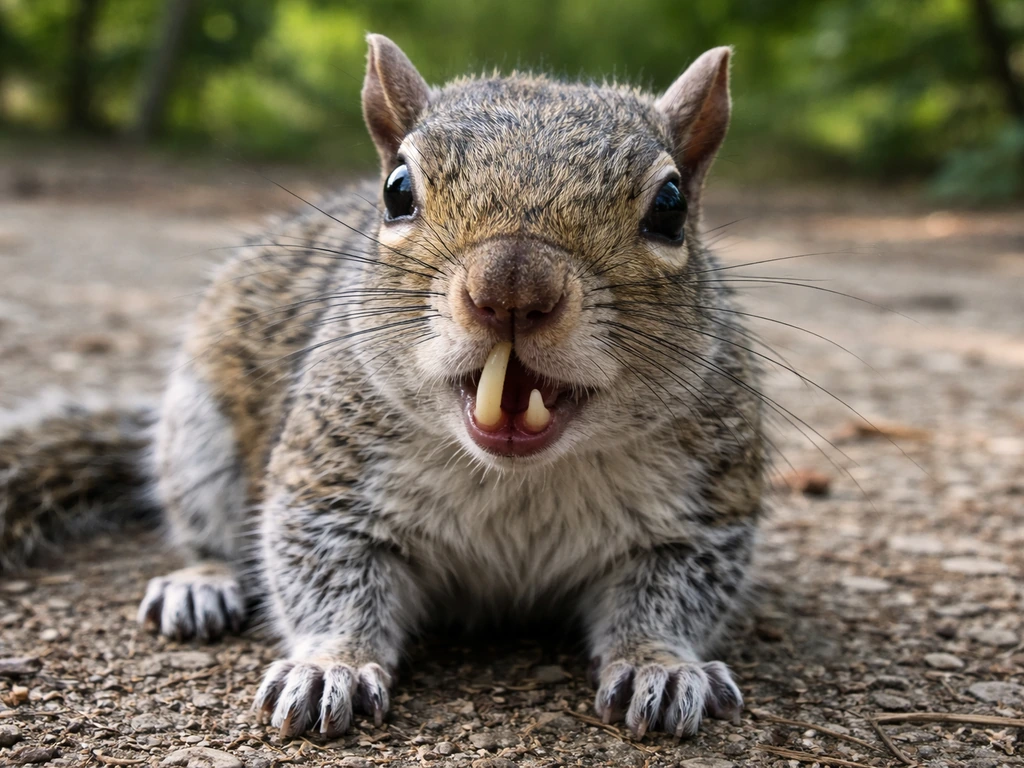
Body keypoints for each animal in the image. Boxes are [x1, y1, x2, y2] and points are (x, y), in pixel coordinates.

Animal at [0, 34, 765, 739]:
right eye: (398, 190)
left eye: (670, 206)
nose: (512, 287)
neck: (515, 477)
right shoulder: (326, 481)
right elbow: (325, 572)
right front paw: (328, 665)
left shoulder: (703, 509)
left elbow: (673, 593)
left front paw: (662, 666)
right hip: (199, 438)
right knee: (206, 531)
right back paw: (202, 583)